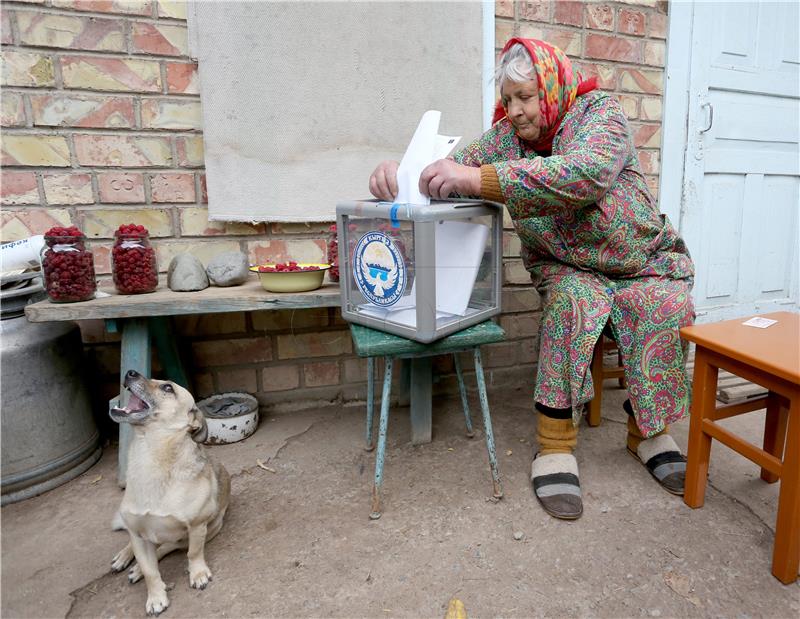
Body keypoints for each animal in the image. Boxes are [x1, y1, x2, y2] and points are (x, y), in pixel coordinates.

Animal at [108, 370, 231, 616]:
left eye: (167, 388)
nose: (130, 372)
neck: (151, 455)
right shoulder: (137, 535)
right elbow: (150, 572)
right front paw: (156, 597)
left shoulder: (197, 527)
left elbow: (193, 554)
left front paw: (198, 573)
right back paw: (126, 559)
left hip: (211, 527)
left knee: (166, 547)